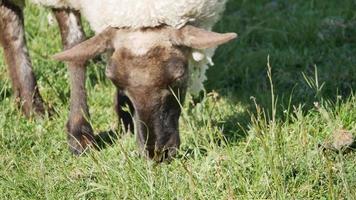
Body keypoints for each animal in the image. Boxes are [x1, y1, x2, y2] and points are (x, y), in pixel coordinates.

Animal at [0, 0, 236, 161]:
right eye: (114, 80)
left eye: (179, 76)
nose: (156, 153)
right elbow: (74, 45)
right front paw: (79, 134)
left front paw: (125, 121)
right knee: (11, 24)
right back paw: (33, 106)